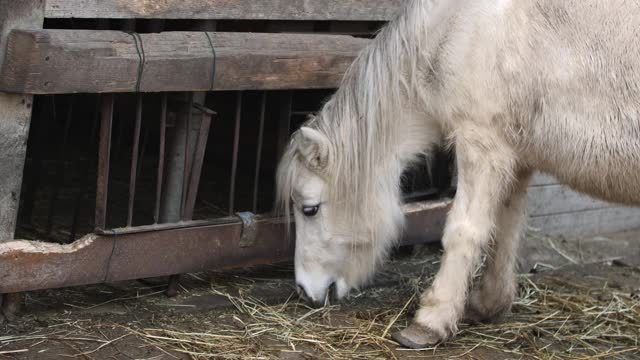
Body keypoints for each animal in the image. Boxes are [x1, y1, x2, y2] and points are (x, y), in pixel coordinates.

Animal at [276, 0, 640, 348]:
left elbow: (464, 231)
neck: (457, 25)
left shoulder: (481, 143)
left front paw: (429, 322)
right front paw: (488, 304)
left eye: (310, 209)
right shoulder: (515, 156)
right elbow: (506, 226)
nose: (303, 289)